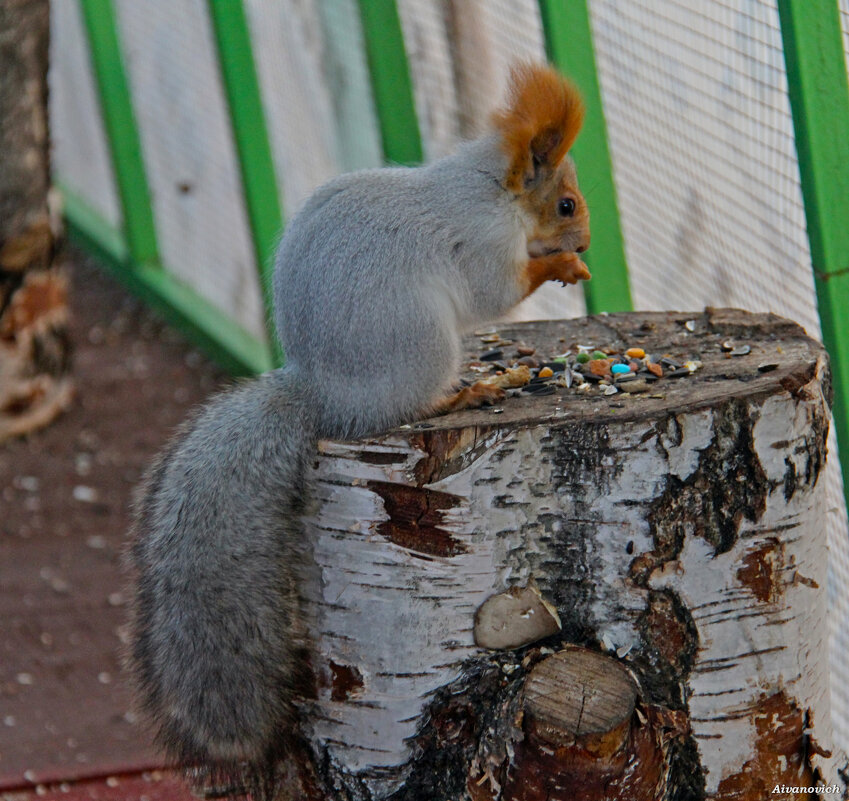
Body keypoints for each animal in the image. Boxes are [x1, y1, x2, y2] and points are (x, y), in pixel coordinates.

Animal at [129, 64, 588, 800]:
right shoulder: (484, 241)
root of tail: (323, 397)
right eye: (567, 204)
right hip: (423, 343)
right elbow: (494, 292)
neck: (489, 188)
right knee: (412, 404)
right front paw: (557, 266)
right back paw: (473, 388)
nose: (586, 242)